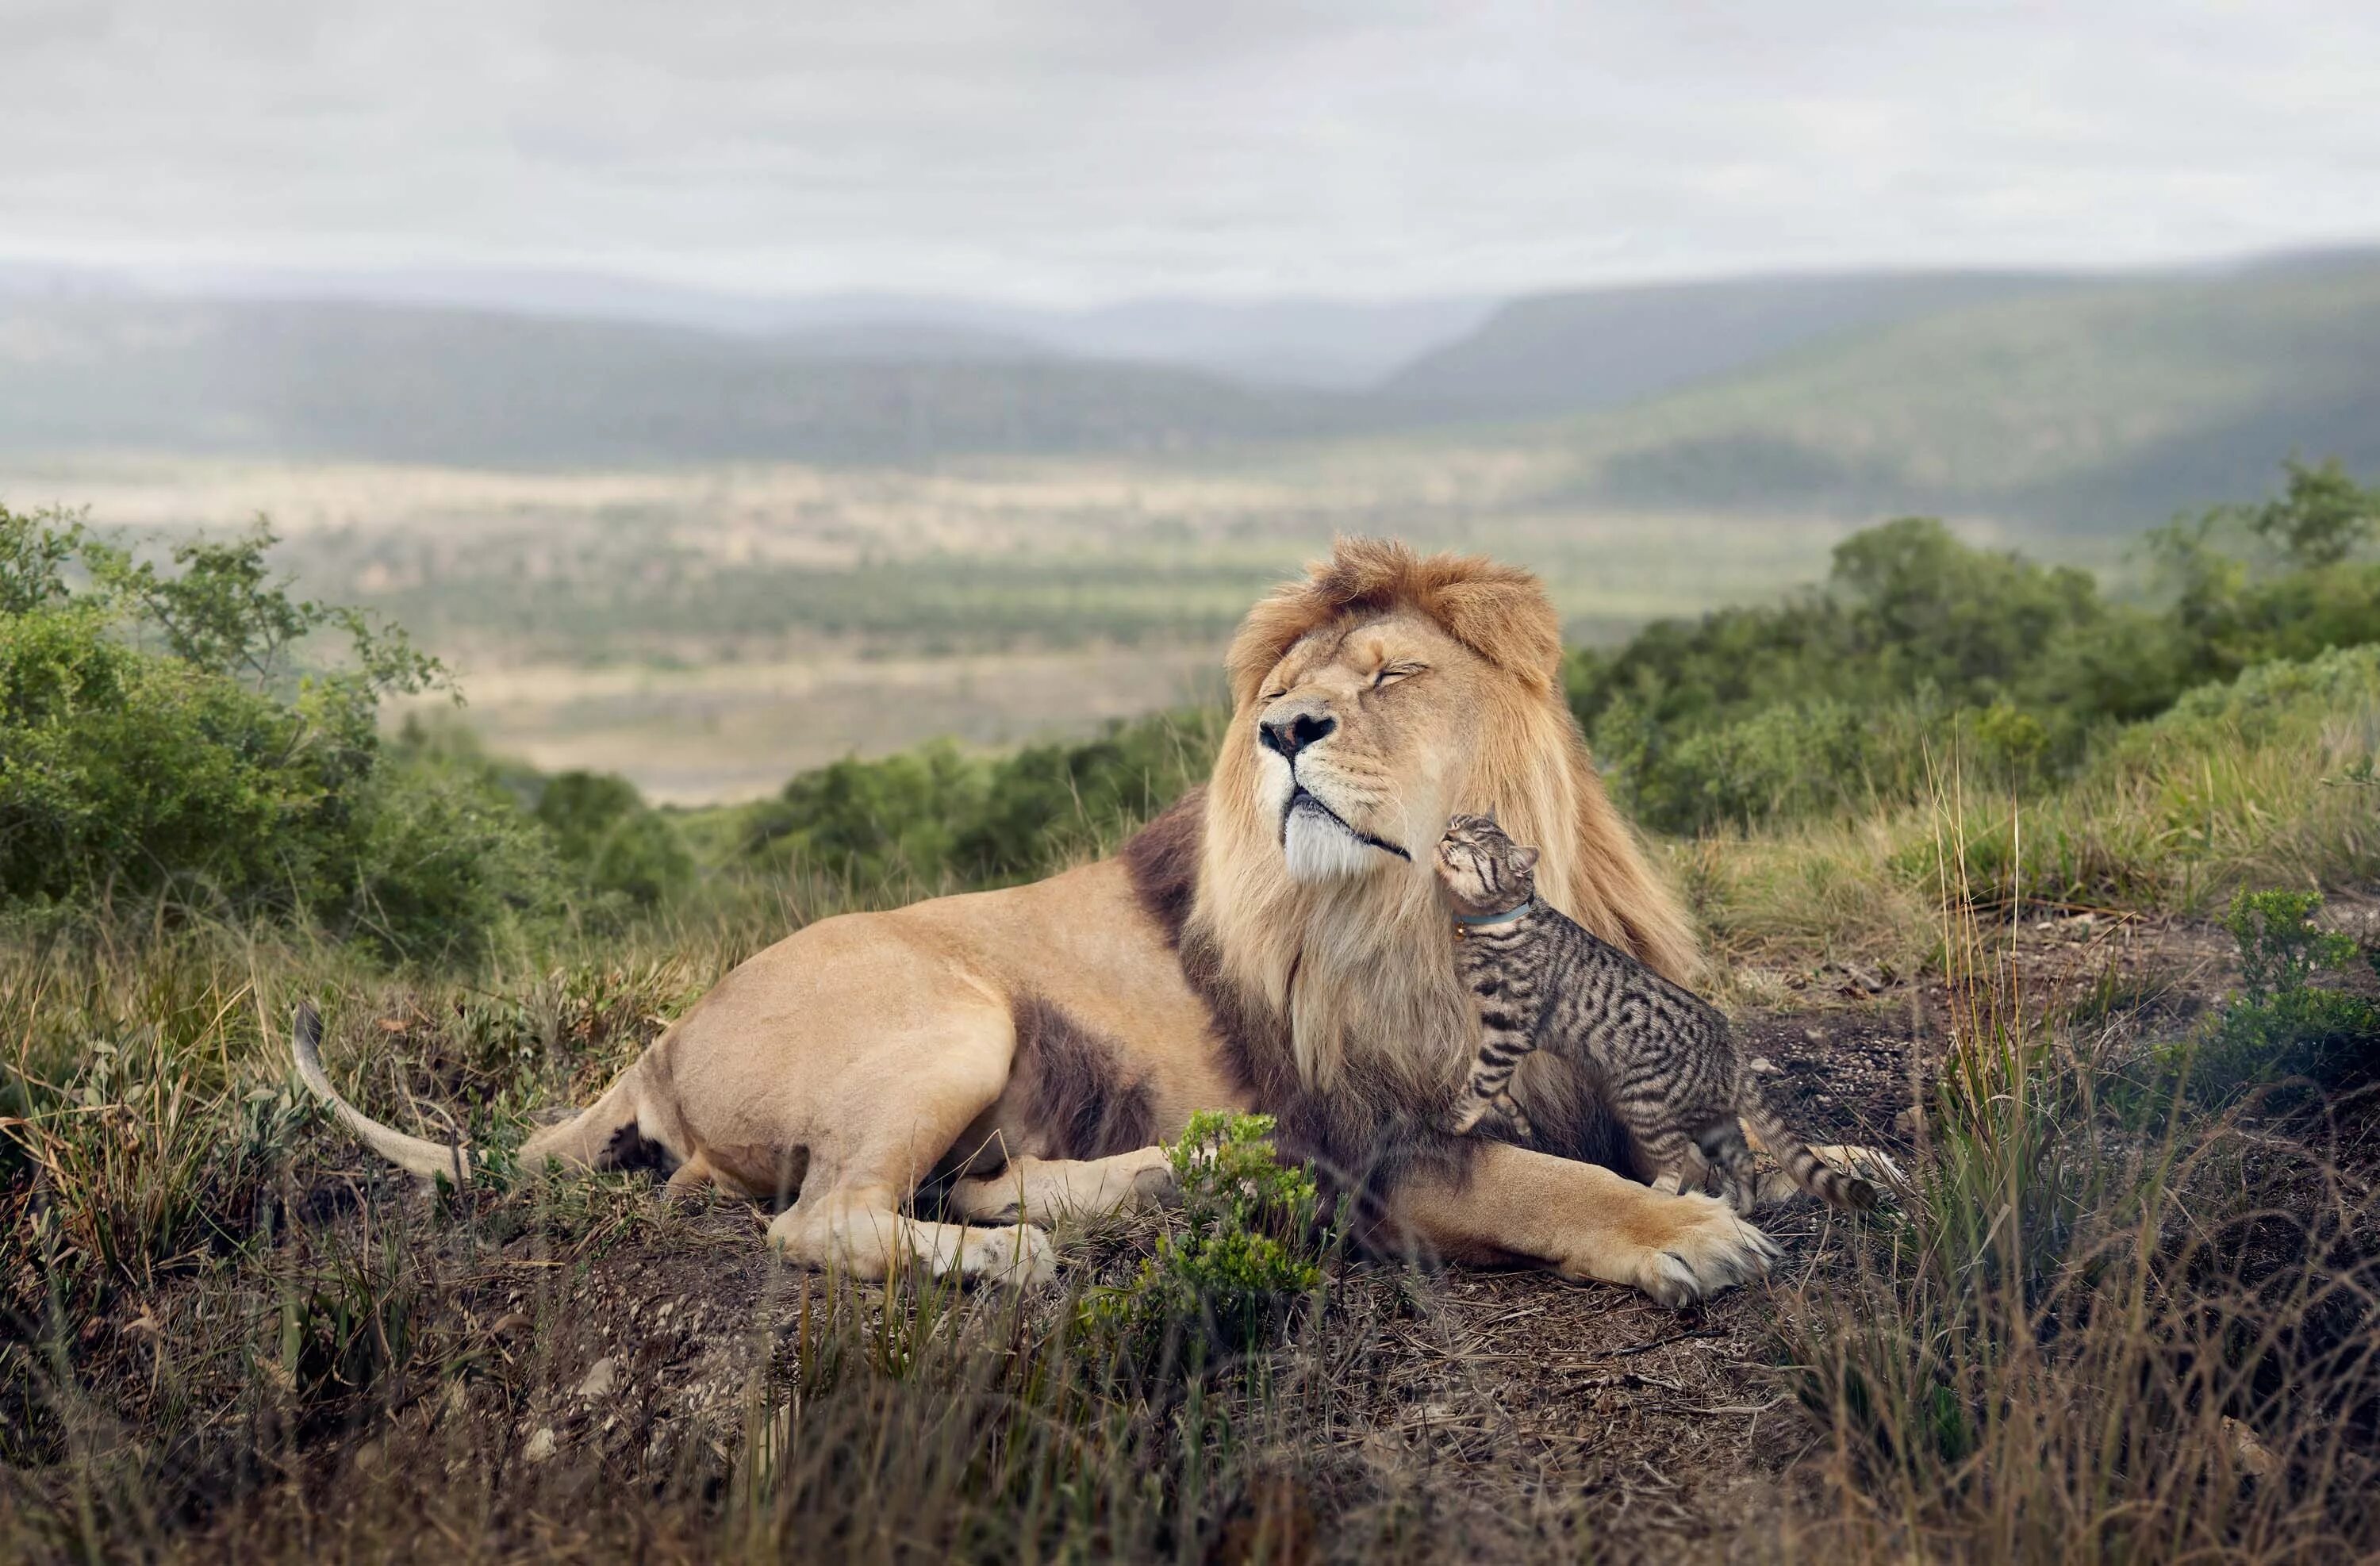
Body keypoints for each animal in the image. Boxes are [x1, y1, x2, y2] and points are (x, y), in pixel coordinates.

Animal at [298, 540, 1780, 1304]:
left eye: (1394, 675)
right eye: (1285, 693)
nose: (1283, 732)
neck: (1422, 909)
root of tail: (660, 1039)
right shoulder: (1376, 1147)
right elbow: (1543, 1180)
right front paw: (1687, 1233)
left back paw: (1161, 1181)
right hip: (956, 1013)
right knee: (824, 1218)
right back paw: (1016, 1252)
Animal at [1428, 809, 1875, 1214]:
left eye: (1472, 844)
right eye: (1455, 822)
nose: (1446, 835)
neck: (1497, 922)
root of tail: (1730, 1045)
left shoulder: (1510, 1028)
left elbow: (1480, 1083)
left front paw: (1452, 1122)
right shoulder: (1496, 1030)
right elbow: (1494, 1085)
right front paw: (1514, 1116)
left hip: (1645, 1106)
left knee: (1676, 1158)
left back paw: (1660, 1194)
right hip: (1715, 1126)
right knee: (1742, 1158)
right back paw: (1742, 1208)